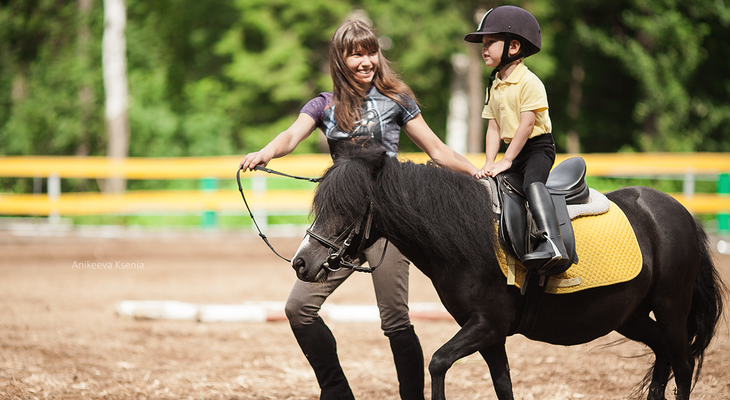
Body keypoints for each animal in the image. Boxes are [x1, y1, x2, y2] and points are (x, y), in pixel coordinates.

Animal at [290, 146, 724, 400]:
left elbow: (437, 363)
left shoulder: (487, 325)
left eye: (346, 207)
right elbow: (502, 384)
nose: (301, 262)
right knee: (663, 354)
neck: (468, 236)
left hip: (671, 307)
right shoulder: (489, 333)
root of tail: (678, 211)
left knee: (683, 365)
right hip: (631, 315)